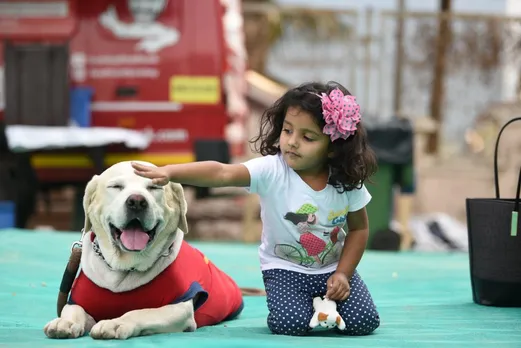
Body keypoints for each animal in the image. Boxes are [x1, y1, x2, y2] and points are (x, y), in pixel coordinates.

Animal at [43, 162, 244, 338]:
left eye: (154, 187)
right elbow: (72, 310)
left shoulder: (179, 308)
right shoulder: (77, 301)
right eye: (116, 186)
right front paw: (66, 322)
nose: (137, 201)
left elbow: (140, 312)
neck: (124, 267)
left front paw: (116, 323)